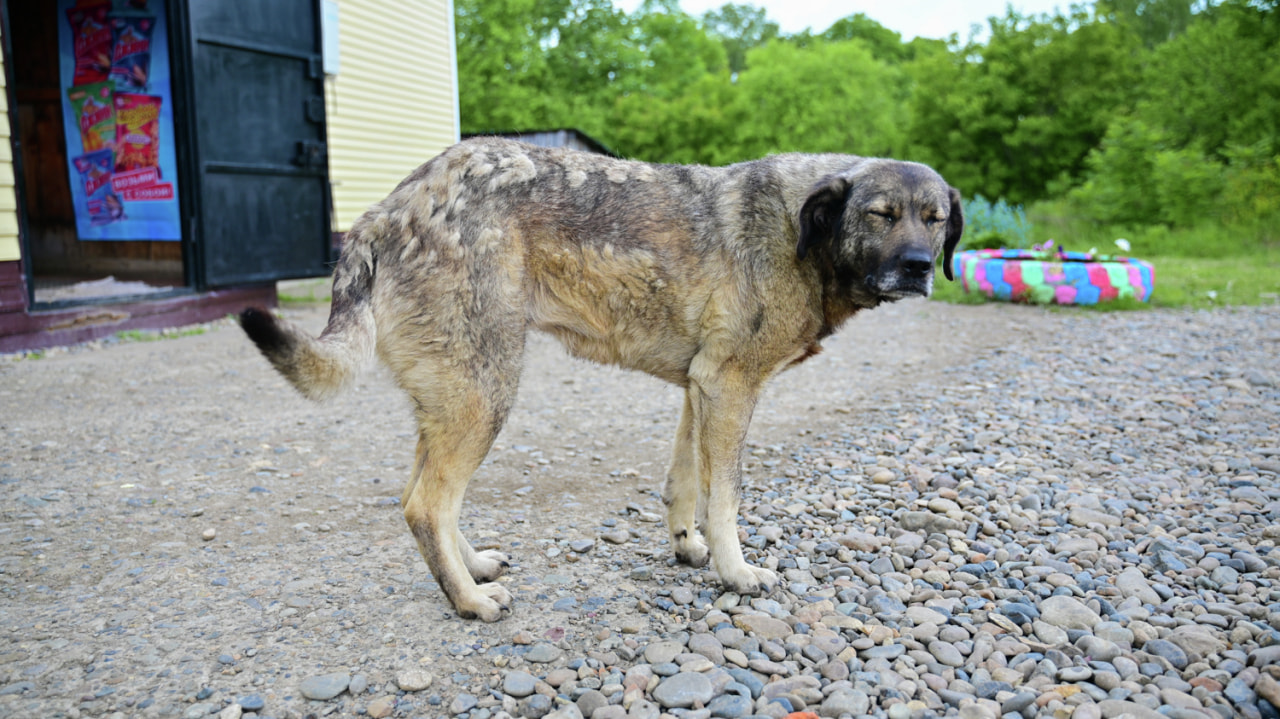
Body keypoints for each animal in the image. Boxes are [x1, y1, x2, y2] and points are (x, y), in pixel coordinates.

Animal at [238, 136, 962, 619]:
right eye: (881, 214)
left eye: (935, 219)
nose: (920, 267)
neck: (800, 230)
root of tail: (386, 211)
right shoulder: (730, 387)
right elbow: (725, 497)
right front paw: (735, 572)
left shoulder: (700, 387)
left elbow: (685, 483)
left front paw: (688, 547)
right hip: (485, 393)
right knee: (425, 504)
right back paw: (470, 601)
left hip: (454, 395)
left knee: (426, 497)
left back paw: (471, 568)